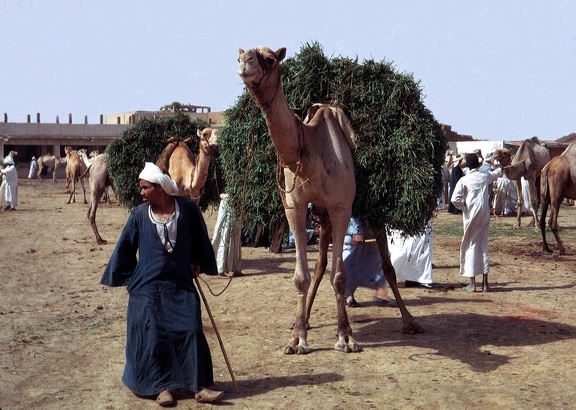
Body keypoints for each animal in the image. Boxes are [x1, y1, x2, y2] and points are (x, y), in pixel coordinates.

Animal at [236, 44, 420, 354]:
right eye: (240, 56)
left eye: (270, 59)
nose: (245, 63)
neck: (308, 148)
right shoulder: (295, 207)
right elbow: (302, 276)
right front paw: (297, 338)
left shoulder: (341, 207)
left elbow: (340, 276)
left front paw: (346, 337)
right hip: (320, 215)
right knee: (320, 264)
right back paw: (306, 320)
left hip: (367, 211)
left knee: (387, 265)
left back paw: (409, 321)